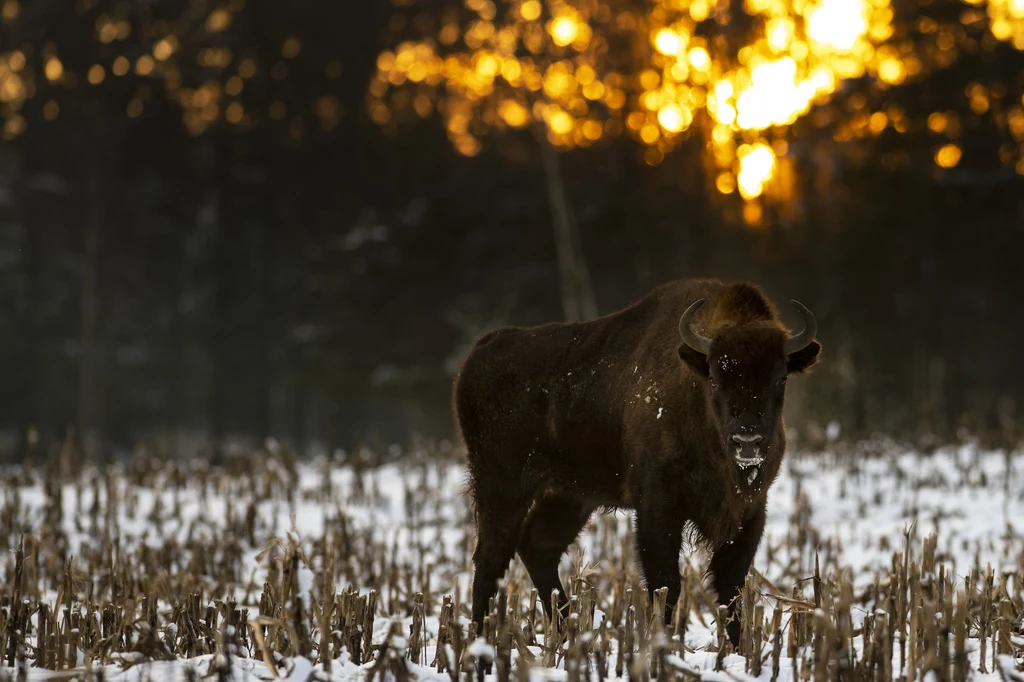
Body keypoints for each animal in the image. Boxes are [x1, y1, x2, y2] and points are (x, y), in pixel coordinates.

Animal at [452, 276, 819, 643]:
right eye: (715, 378)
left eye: (780, 377)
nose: (747, 441)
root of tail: (478, 353)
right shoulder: (656, 506)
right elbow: (666, 584)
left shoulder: (750, 512)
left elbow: (732, 589)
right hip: (502, 486)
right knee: (491, 557)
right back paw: (480, 638)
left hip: (570, 495)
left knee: (537, 547)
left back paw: (567, 631)